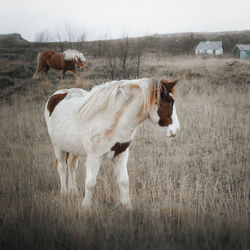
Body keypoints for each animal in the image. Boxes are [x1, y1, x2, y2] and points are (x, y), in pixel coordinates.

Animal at [44, 78, 179, 209]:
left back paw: (73, 191)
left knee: (71, 166)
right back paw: (64, 193)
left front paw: (127, 206)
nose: (176, 130)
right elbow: (90, 183)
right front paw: (86, 206)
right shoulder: (94, 157)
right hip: (58, 147)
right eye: (170, 102)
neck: (110, 121)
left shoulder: (121, 155)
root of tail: (57, 95)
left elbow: (124, 181)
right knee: (62, 167)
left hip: (73, 149)